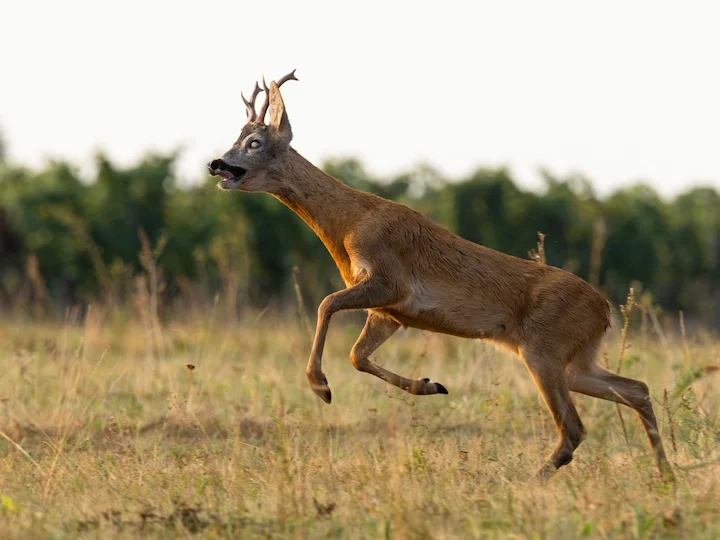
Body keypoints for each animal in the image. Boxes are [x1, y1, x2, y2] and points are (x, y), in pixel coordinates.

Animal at [207, 71, 674, 482]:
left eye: (254, 142)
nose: (216, 163)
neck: (348, 224)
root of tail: (606, 310)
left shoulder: (389, 279)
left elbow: (325, 305)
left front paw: (320, 387)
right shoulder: (391, 312)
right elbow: (358, 355)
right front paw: (431, 385)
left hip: (544, 349)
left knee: (574, 428)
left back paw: (529, 480)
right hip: (574, 359)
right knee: (637, 388)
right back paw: (665, 474)